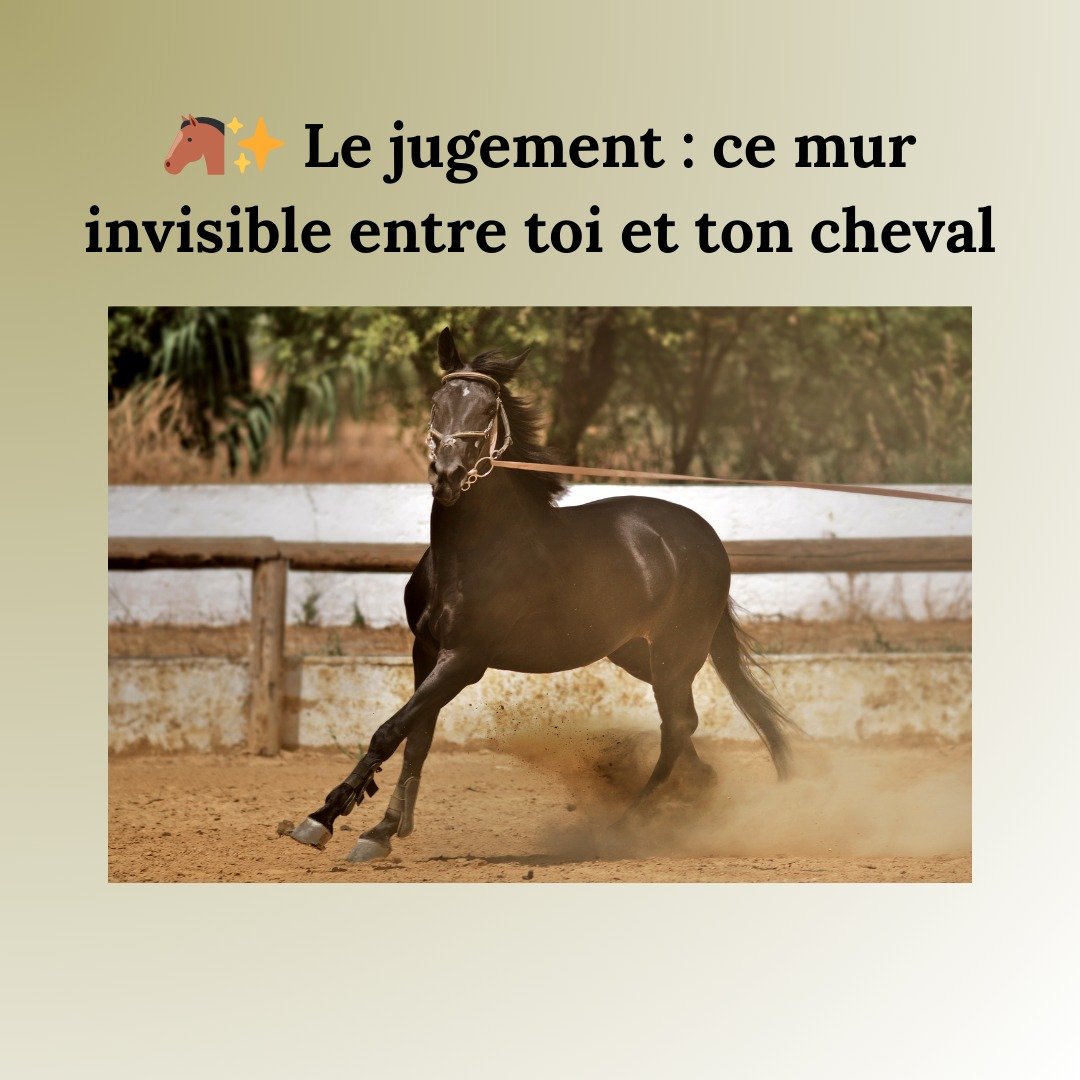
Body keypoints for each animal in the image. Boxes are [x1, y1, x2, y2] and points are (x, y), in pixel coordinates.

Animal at [290, 327, 799, 862]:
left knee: (676, 726)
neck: (472, 555)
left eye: (487, 409)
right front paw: (382, 830)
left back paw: (627, 825)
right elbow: (417, 737)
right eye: (436, 402)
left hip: (676, 654)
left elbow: (391, 730)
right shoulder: (425, 649)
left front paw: (323, 819)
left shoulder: (465, 660)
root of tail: (704, 536)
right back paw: (699, 790)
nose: (446, 474)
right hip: (636, 654)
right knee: (685, 724)